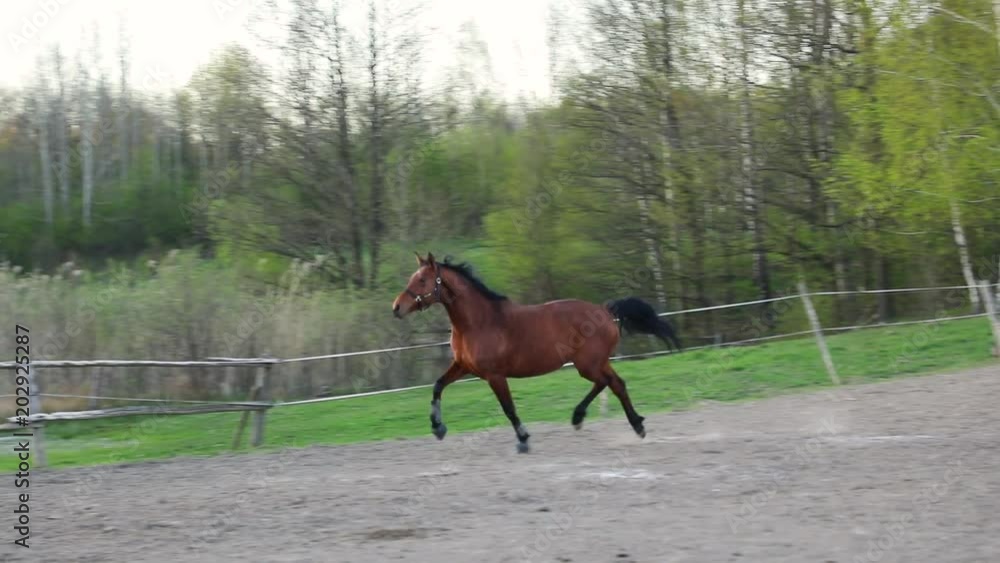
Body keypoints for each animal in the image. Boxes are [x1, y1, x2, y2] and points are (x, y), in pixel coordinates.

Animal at [392, 252, 682, 453]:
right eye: (412, 278)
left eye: (422, 280)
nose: (396, 308)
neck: (479, 322)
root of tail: (605, 310)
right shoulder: (464, 366)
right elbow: (437, 386)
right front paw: (438, 428)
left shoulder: (494, 375)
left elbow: (508, 408)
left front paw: (523, 440)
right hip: (596, 362)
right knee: (615, 383)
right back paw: (628, 424)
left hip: (588, 364)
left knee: (607, 383)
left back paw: (593, 419)